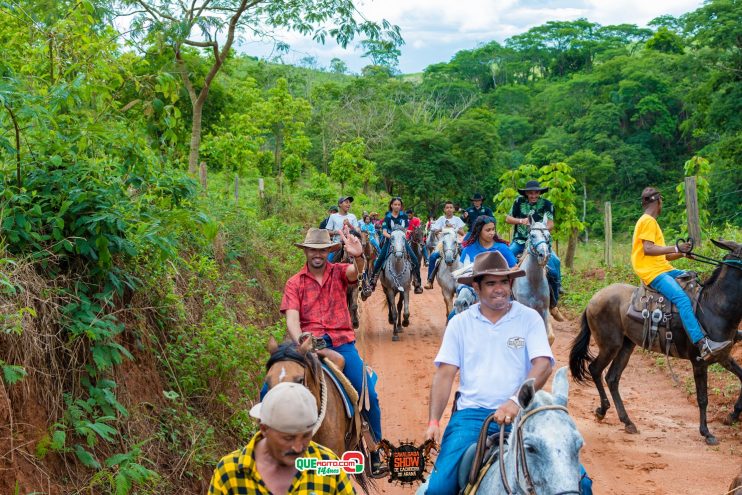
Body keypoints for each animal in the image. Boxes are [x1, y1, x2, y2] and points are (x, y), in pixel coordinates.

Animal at [568, 240, 742, 446]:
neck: (714, 308)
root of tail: (593, 299)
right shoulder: (699, 361)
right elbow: (702, 398)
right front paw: (706, 433)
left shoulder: (723, 356)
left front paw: (733, 415)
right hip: (610, 346)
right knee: (595, 369)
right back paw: (602, 410)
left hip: (626, 346)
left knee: (612, 378)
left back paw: (627, 422)